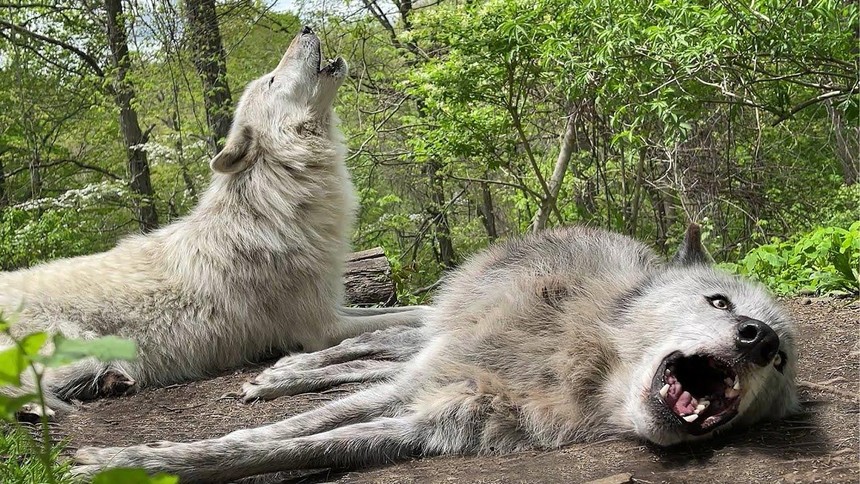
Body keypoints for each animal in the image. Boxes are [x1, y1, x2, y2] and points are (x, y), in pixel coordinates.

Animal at [0, 25, 426, 412]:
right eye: (272, 80)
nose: (305, 27)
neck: (275, 203)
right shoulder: (322, 327)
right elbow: (408, 316)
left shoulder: (334, 307)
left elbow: (405, 313)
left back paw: (110, 383)